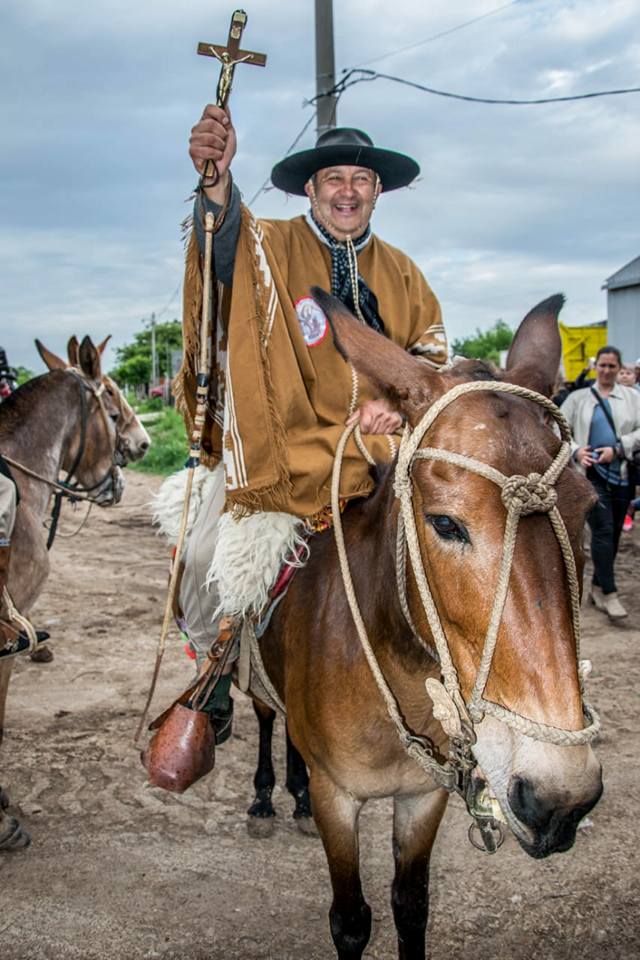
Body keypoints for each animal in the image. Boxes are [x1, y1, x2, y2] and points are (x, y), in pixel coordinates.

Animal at [243, 291, 602, 959]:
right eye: (445, 523)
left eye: (587, 508)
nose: (561, 799)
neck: (395, 672)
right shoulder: (339, 801)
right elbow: (350, 918)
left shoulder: (423, 795)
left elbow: (411, 906)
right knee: (265, 716)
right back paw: (265, 796)